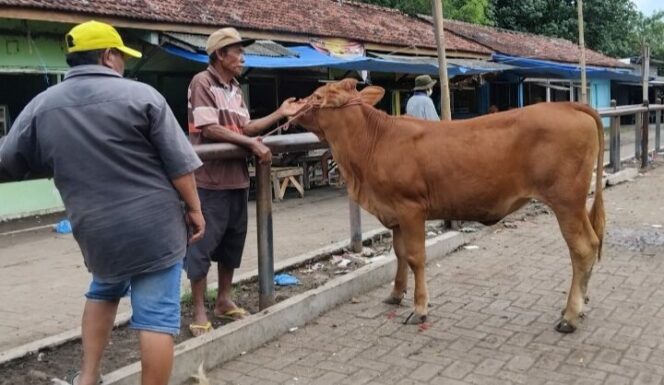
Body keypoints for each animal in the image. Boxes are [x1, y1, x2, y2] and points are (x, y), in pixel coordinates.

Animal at [294, 79, 604, 332]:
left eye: (317, 96)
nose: (292, 105)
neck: (374, 141)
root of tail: (568, 105)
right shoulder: (393, 211)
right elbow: (399, 253)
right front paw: (395, 294)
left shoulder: (410, 208)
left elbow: (415, 257)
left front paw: (419, 308)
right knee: (591, 244)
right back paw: (580, 307)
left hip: (567, 202)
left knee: (583, 248)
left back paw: (570, 316)